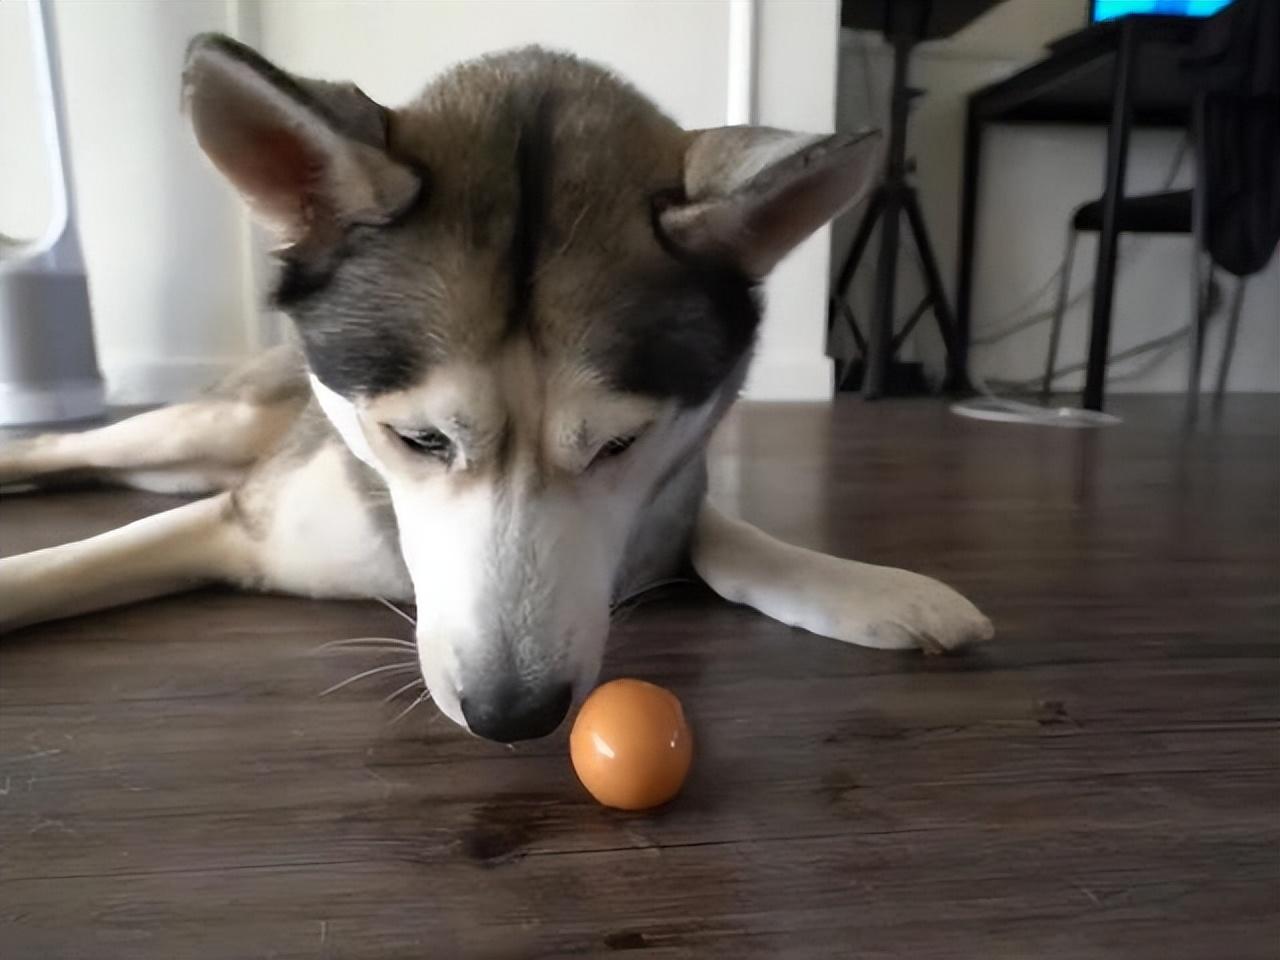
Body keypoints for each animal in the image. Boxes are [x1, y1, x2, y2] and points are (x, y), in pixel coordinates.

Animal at [0, 35, 993, 742]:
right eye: (421, 440)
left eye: (620, 444)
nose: (512, 715)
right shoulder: (245, 521)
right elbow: (75, 562)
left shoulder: (672, 485)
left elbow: (720, 534)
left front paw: (856, 585)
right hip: (203, 433)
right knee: (75, 447)